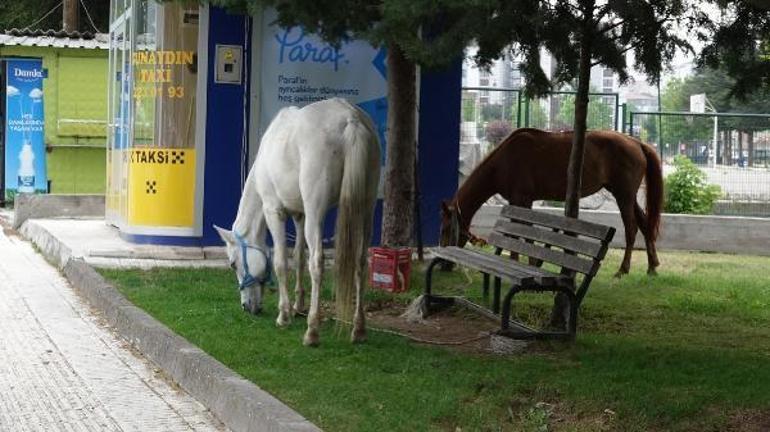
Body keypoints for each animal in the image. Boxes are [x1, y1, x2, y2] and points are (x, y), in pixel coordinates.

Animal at [212, 98, 380, 348]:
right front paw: (298, 306)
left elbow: (282, 262)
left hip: (316, 210)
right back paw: (359, 329)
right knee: (361, 262)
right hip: (365, 208)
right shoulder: (300, 216)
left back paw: (312, 332)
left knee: (317, 263)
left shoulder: (275, 212)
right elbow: (299, 256)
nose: (247, 307)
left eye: (233, 264)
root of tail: (351, 119)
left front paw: (284, 315)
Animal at [440, 128, 664, 276]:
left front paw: (523, 261)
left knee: (631, 228)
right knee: (645, 224)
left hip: (624, 195)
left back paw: (623, 269)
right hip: (626, 195)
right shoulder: (518, 202)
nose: (443, 264)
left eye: (446, 228)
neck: (503, 161)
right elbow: (520, 231)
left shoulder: (522, 199)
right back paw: (652, 266)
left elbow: (524, 231)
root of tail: (636, 142)